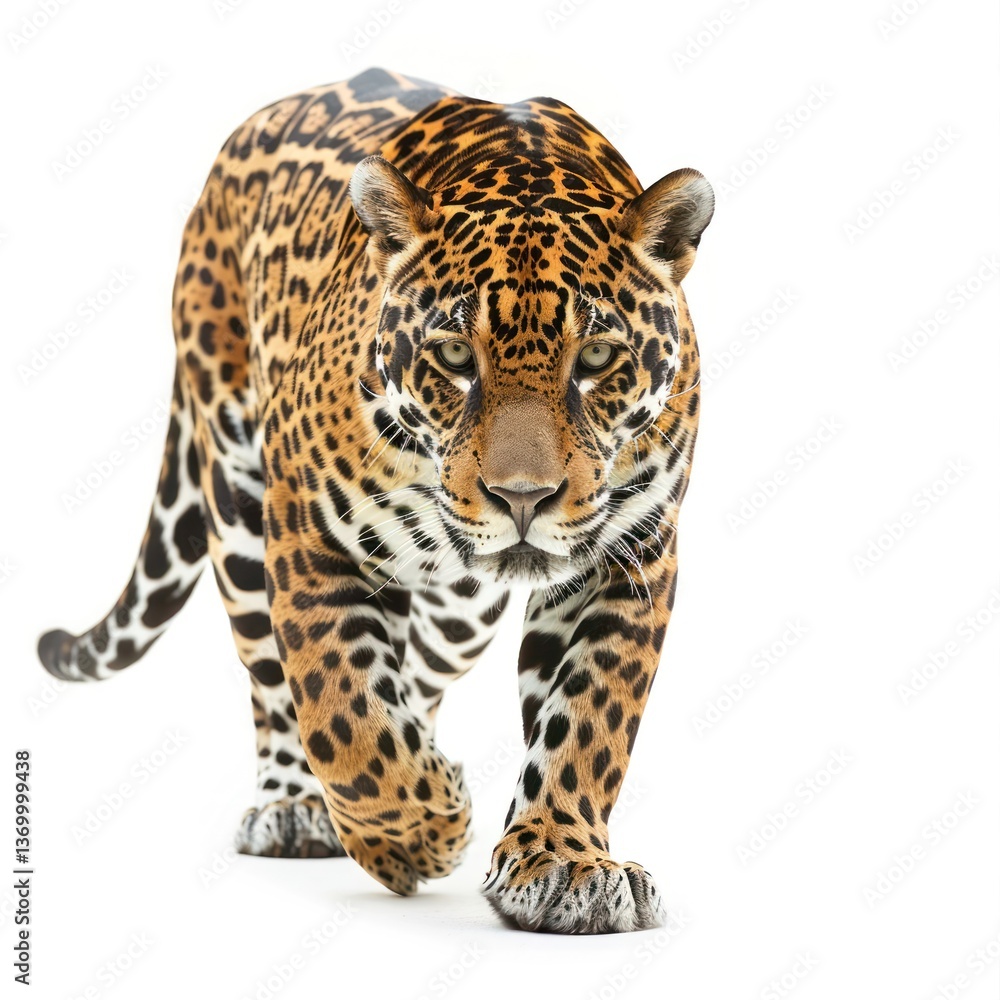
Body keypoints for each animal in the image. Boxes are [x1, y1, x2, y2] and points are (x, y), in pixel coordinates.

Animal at [37, 67, 713, 934]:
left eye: (597, 358)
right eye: (454, 355)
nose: (522, 498)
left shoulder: (630, 556)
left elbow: (588, 722)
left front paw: (564, 861)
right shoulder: (307, 533)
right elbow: (342, 709)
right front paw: (414, 832)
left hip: (461, 611)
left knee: (416, 669)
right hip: (236, 495)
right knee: (277, 681)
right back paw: (298, 807)